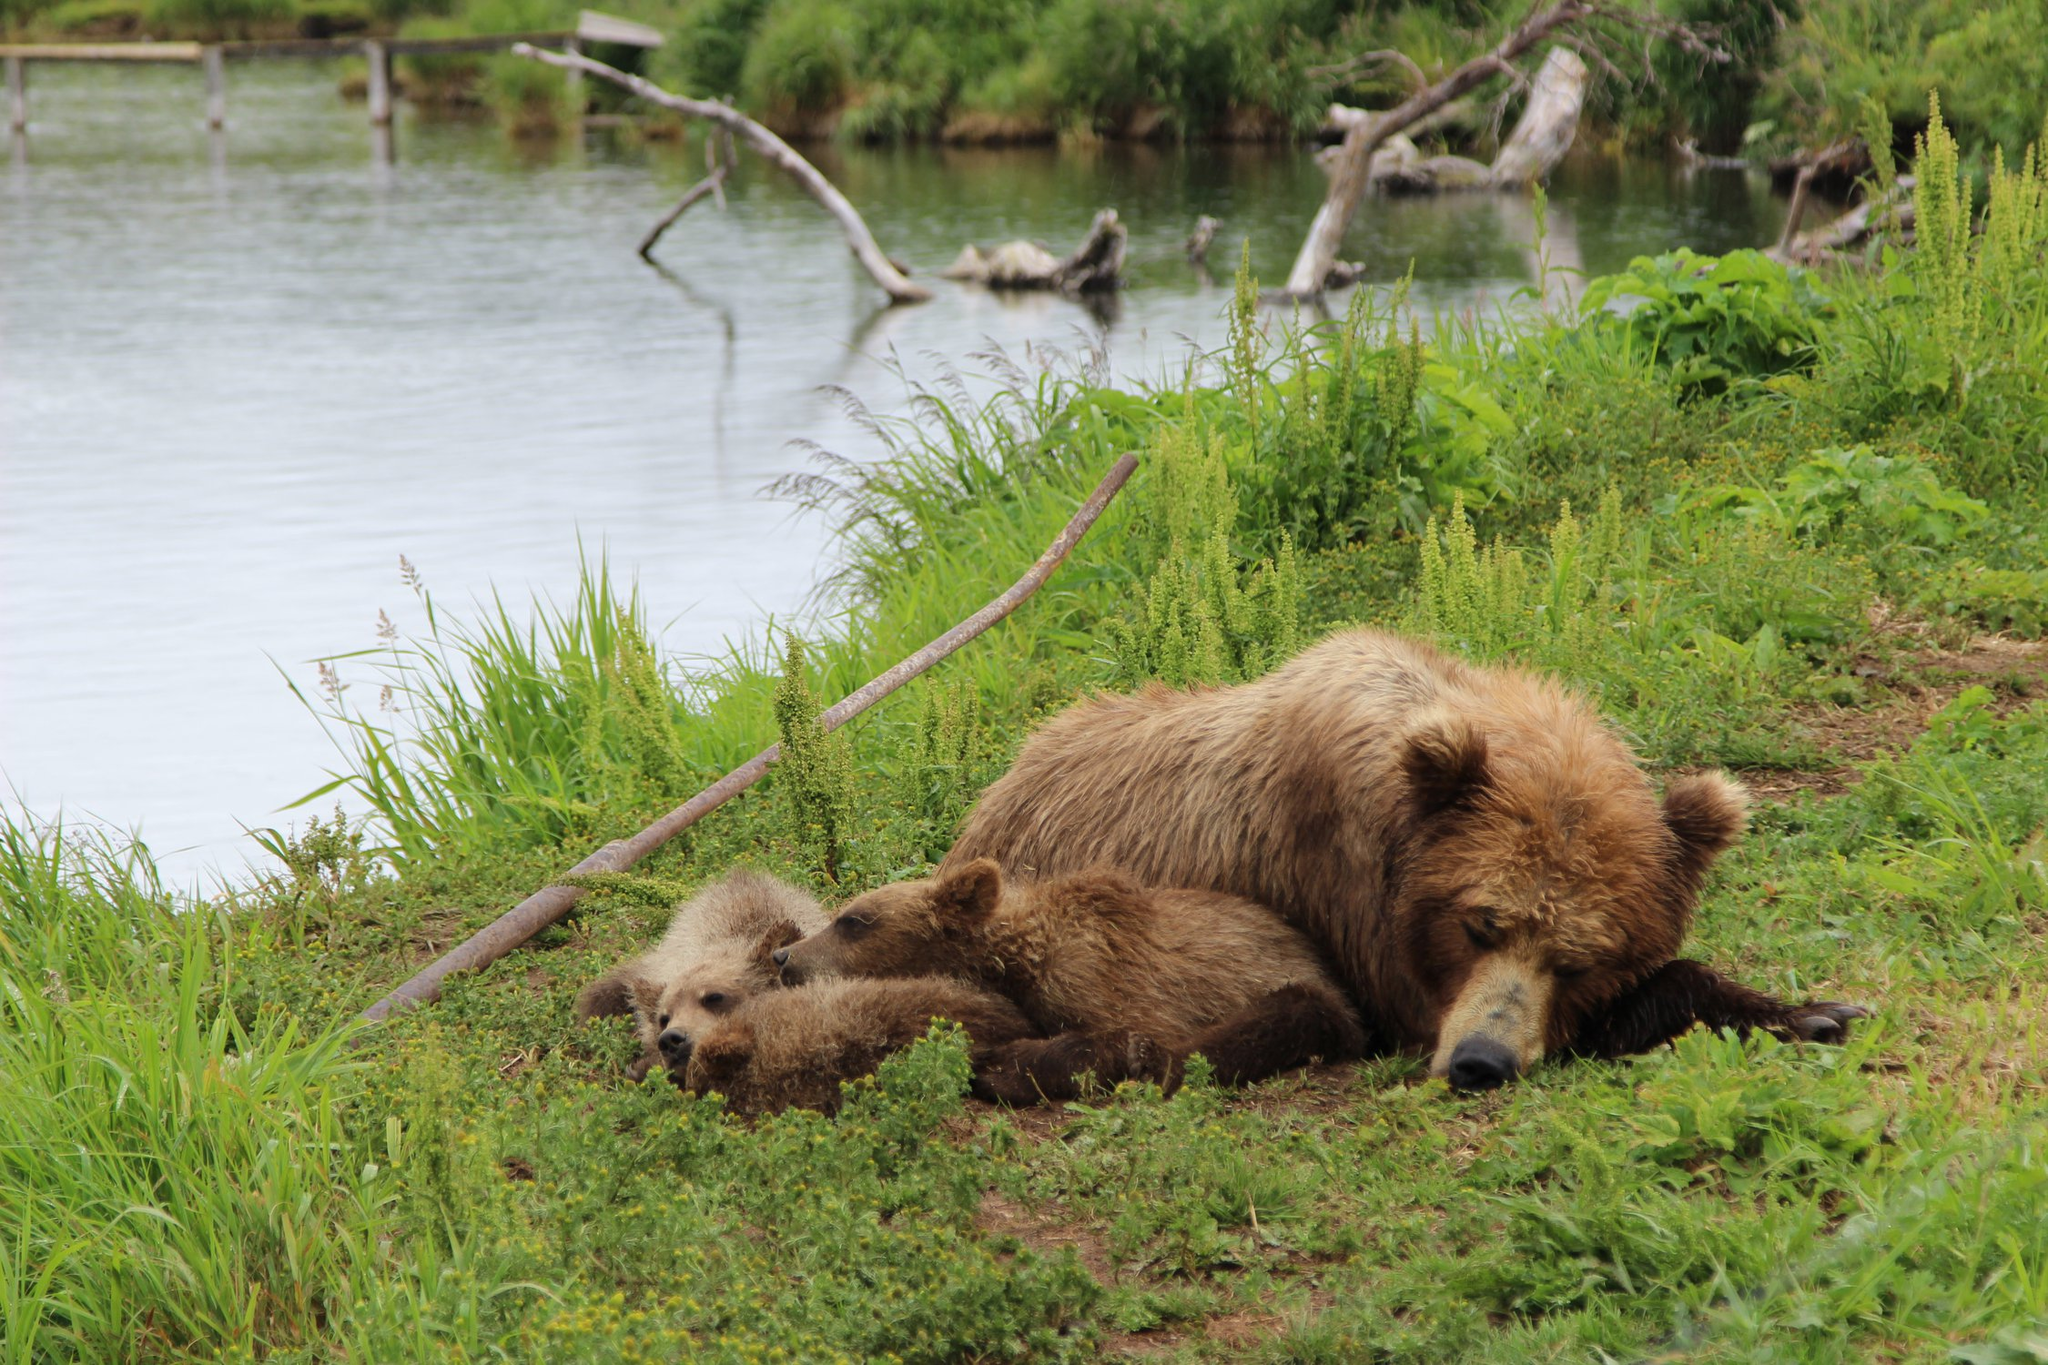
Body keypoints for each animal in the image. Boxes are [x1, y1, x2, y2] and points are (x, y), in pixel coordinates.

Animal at [774, 859, 1368, 1105]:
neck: (1017, 959)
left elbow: (1134, 1037)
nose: (783, 955)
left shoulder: (1111, 976)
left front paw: (1001, 1066)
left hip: (1286, 983)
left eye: (853, 920)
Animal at [937, 626, 1867, 1088]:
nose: (1482, 1062)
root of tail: (999, 781)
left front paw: (1813, 1010)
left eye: (1584, 954)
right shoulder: (1347, 894)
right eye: (1480, 921)